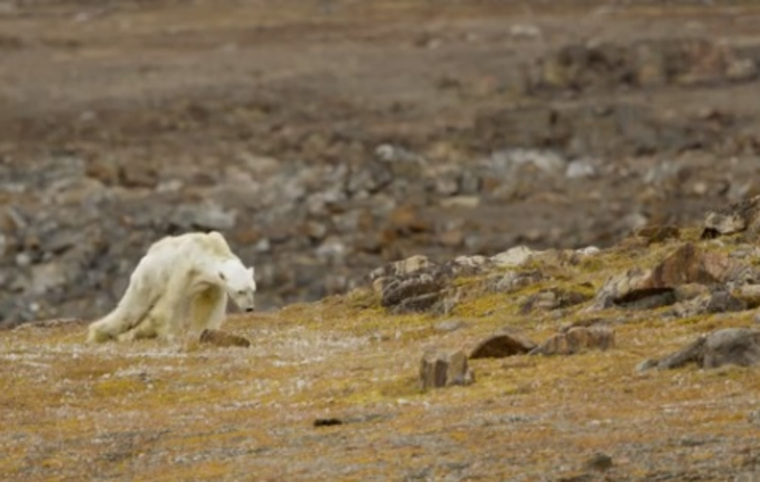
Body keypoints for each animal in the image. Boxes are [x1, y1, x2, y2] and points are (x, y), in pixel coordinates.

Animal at [87, 230, 256, 342]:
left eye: (252, 290)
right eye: (240, 291)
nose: (249, 308)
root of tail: (146, 256)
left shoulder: (211, 283)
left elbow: (208, 304)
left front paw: (203, 331)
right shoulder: (183, 270)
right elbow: (169, 303)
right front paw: (167, 334)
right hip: (148, 277)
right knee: (132, 308)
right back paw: (99, 333)